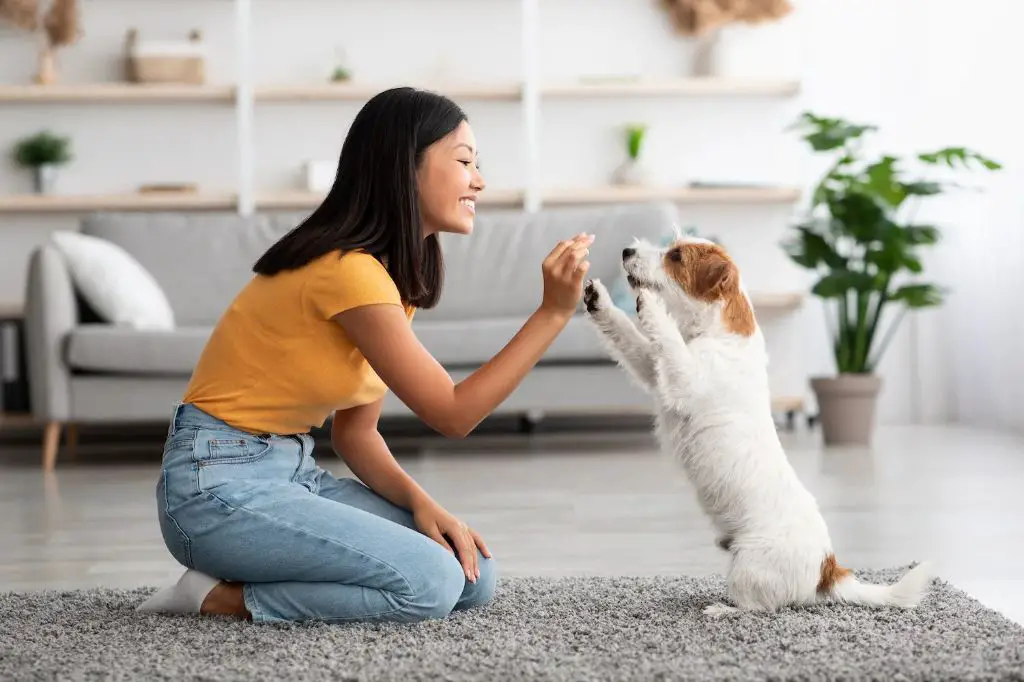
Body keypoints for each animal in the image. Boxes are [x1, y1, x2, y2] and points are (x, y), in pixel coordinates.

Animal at [581, 233, 933, 614]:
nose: (626, 251)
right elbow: (630, 339)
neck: (715, 332)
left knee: (757, 607)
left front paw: (653, 305)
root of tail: (827, 569)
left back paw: (722, 609)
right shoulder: (653, 369)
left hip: (748, 565)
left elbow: (668, 340)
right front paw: (599, 300)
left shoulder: (684, 379)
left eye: (675, 256)